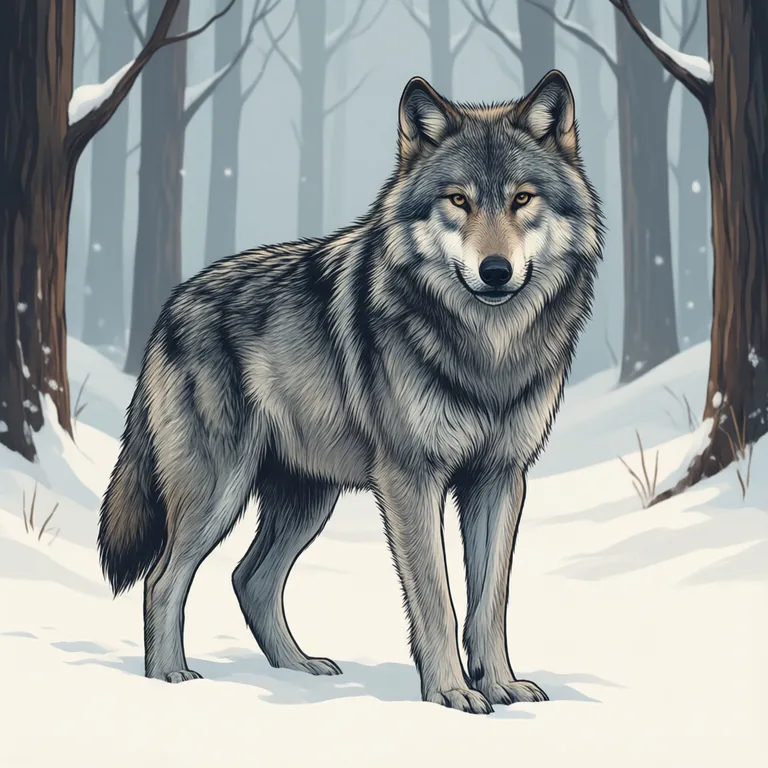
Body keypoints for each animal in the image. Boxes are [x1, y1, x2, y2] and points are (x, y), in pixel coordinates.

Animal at [98, 69, 603, 714]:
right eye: (458, 200)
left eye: (521, 198)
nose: (495, 271)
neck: (487, 350)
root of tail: (170, 306)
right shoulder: (411, 478)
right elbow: (438, 599)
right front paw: (450, 692)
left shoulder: (500, 478)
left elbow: (490, 603)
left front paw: (500, 685)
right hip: (219, 492)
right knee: (164, 579)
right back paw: (168, 679)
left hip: (308, 499)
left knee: (249, 578)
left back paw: (300, 668)